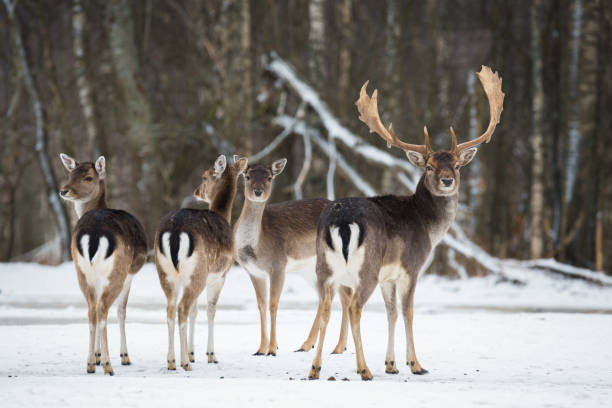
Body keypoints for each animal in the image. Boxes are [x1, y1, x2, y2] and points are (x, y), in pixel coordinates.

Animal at [58, 154, 147, 376]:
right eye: (70, 174)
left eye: (88, 177)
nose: (64, 190)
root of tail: (95, 233)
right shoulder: (130, 274)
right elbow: (122, 311)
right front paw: (124, 357)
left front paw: (97, 356)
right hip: (117, 272)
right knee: (104, 309)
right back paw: (109, 365)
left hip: (81, 272)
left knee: (92, 309)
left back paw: (90, 363)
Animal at [154, 153, 247, 370]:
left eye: (205, 177)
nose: (196, 191)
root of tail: (176, 230)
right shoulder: (220, 275)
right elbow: (211, 310)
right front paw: (210, 354)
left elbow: (196, 311)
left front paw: (192, 352)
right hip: (197, 271)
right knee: (182, 308)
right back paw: (185, 363)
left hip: (167, 272)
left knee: (171, 309)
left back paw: (172, 361)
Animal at [233, 159, 350, 356]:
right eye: (247, 176)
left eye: (269, 177)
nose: (258, 191)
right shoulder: (254, 272)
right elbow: (261, 305)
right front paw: (260, 349)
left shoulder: (278, 265)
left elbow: (273, 304)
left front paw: (272, 349)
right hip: (312, 271)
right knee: (326, 297)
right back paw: (307, 345)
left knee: (344, 295)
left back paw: (338, 347)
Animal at [308, 65, 504, 380]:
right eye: (429, 167)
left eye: (457, 165)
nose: (447, 180)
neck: (428, 226)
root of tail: (341, 220)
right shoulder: (411, 266)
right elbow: (408, 312)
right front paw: (416, 364)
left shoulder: (389, 276)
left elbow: (391, 313)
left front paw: (392, 364)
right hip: (366, 268)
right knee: (354, 308)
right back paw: (364, 370)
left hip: (323, 267)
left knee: (325, 307)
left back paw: (315, 368)